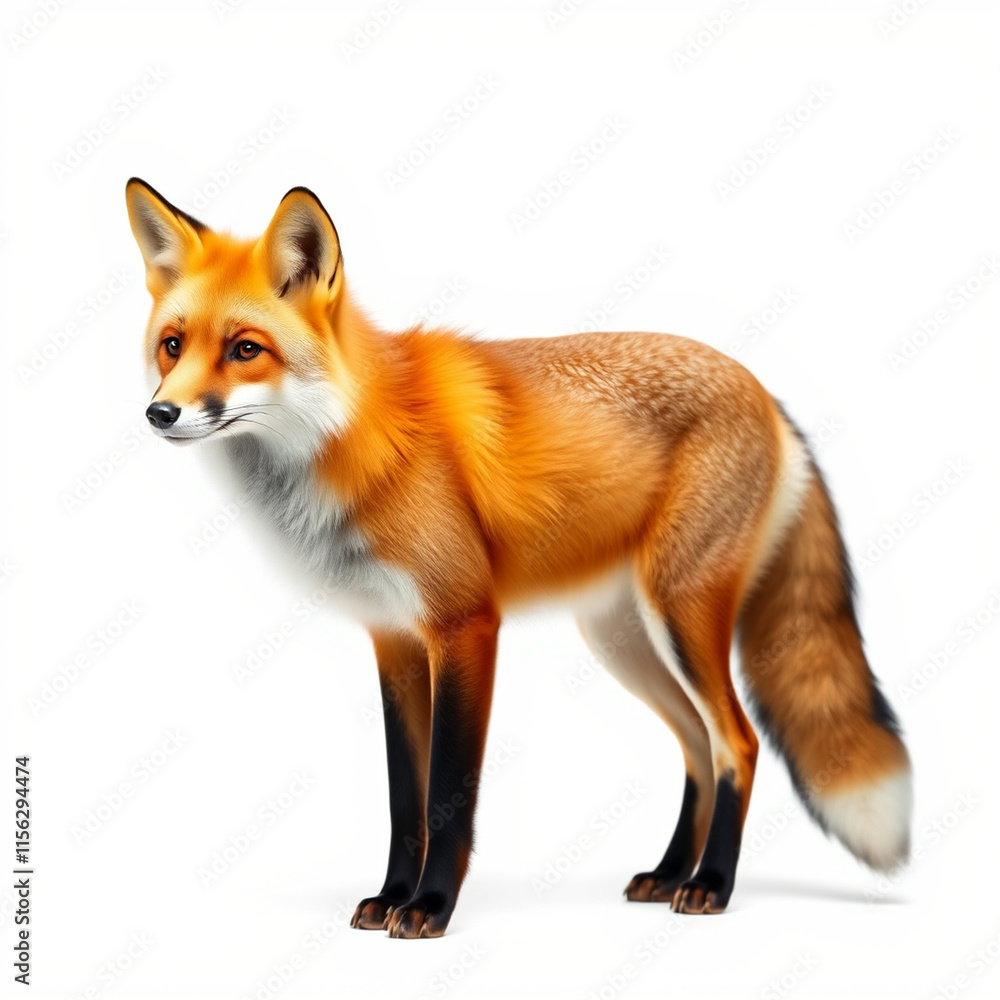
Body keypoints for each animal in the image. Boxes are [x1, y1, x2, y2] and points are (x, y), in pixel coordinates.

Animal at [126, 178, 912, 938]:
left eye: (245, 349)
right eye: (172, 345)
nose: (160, 414)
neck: (360, 434)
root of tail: (765, 392)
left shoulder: (464, 624)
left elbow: (446, 794)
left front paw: (430, 907)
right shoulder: (393, 640)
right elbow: (404, 801)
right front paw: (390, 898)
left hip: (680, 617)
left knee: (738, 743)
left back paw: (712, 885)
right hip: (624, 639)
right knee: (697, 744)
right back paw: (668, 876)